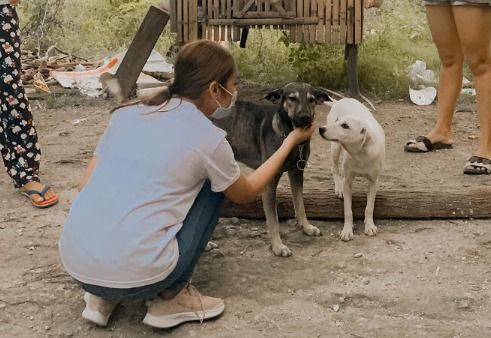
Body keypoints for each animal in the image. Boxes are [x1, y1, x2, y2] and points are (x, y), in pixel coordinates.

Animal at [212, 82, 330, 256]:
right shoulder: (269, 184)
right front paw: (278, 246)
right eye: (292, 98)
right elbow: (273, 220)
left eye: (312, 100)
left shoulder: (297, 173)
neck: (288, 135)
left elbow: (300, 204)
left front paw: (307, 227)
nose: (305, 117)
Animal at [320, 97, 386, 240]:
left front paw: (370, 226)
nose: (320, 129)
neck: (360, 154)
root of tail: (340, 100)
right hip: (335, 148)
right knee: (334, 169)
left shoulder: (374, 182)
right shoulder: (347, 181)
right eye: (337, 120)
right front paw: (347, 230)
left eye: (345, 126)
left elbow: (369, 207)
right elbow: (348, 211)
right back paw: (338, 188)